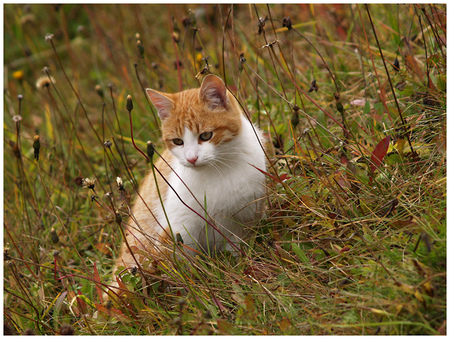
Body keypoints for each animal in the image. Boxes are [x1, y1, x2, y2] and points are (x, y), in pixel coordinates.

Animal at [112, 75, 266, 294]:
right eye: (178, 141)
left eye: (205, 136)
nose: (192, 158)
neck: (217, 171)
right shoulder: (178, 228)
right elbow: (180, 265)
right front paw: (190, 289)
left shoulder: (242, 222)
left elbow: (237, 251)